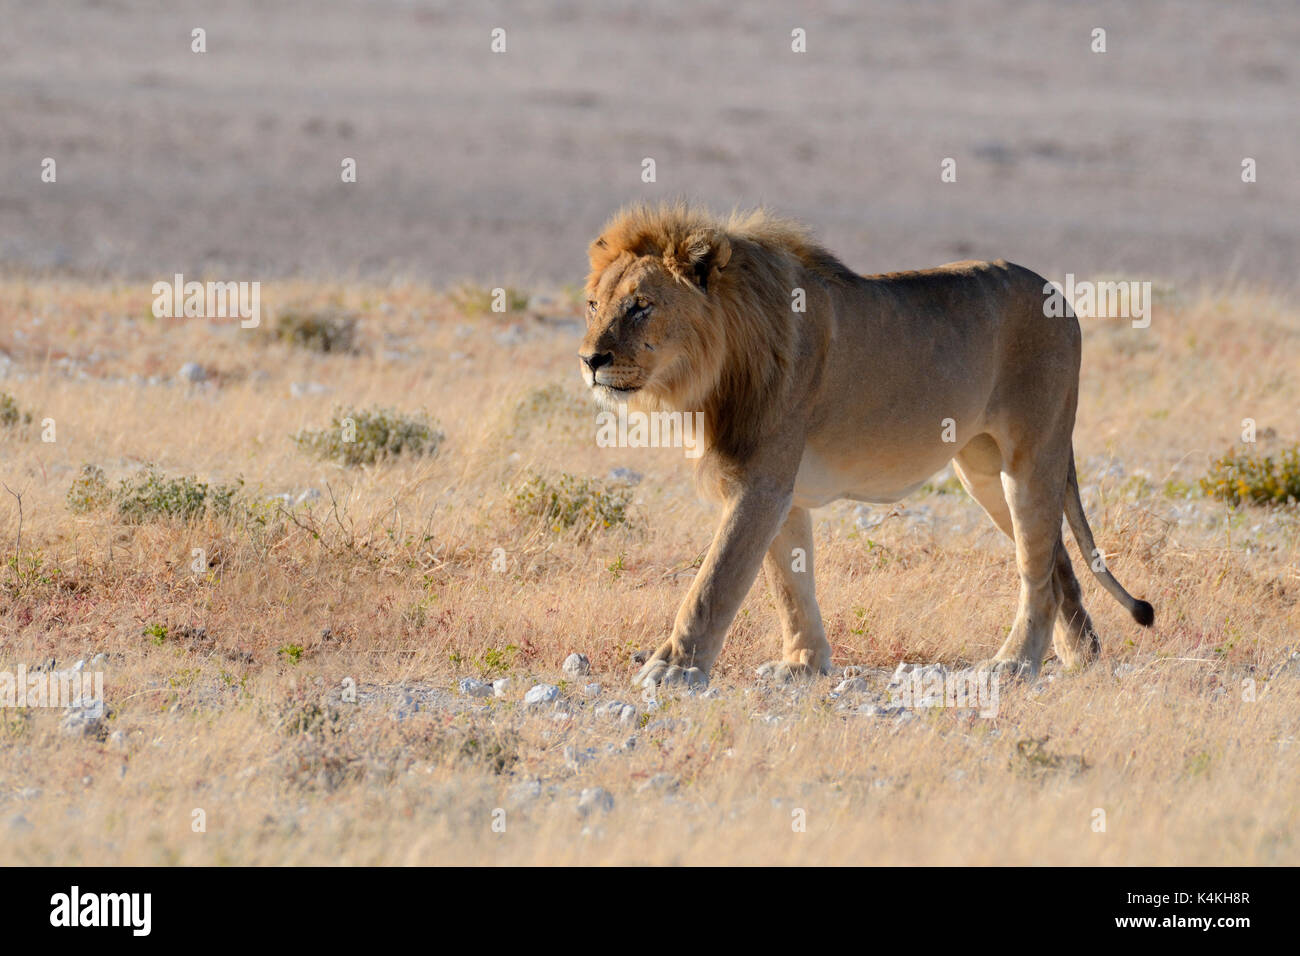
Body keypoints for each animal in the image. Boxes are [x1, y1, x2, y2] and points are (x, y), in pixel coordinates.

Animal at [579, 202, 1154, 687]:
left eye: (640, 307)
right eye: (592, 305)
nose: (589, 360)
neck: (716, 368)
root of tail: (1058, 294)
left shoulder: (760, 483)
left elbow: (715, 583)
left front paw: (672, 669)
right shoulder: (778, 490)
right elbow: (789, 584)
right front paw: (803, 664)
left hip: (1032, 456)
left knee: (1037, 571)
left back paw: (1013, 663)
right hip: (985, 471)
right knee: (1057, 562)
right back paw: (1082, 655)